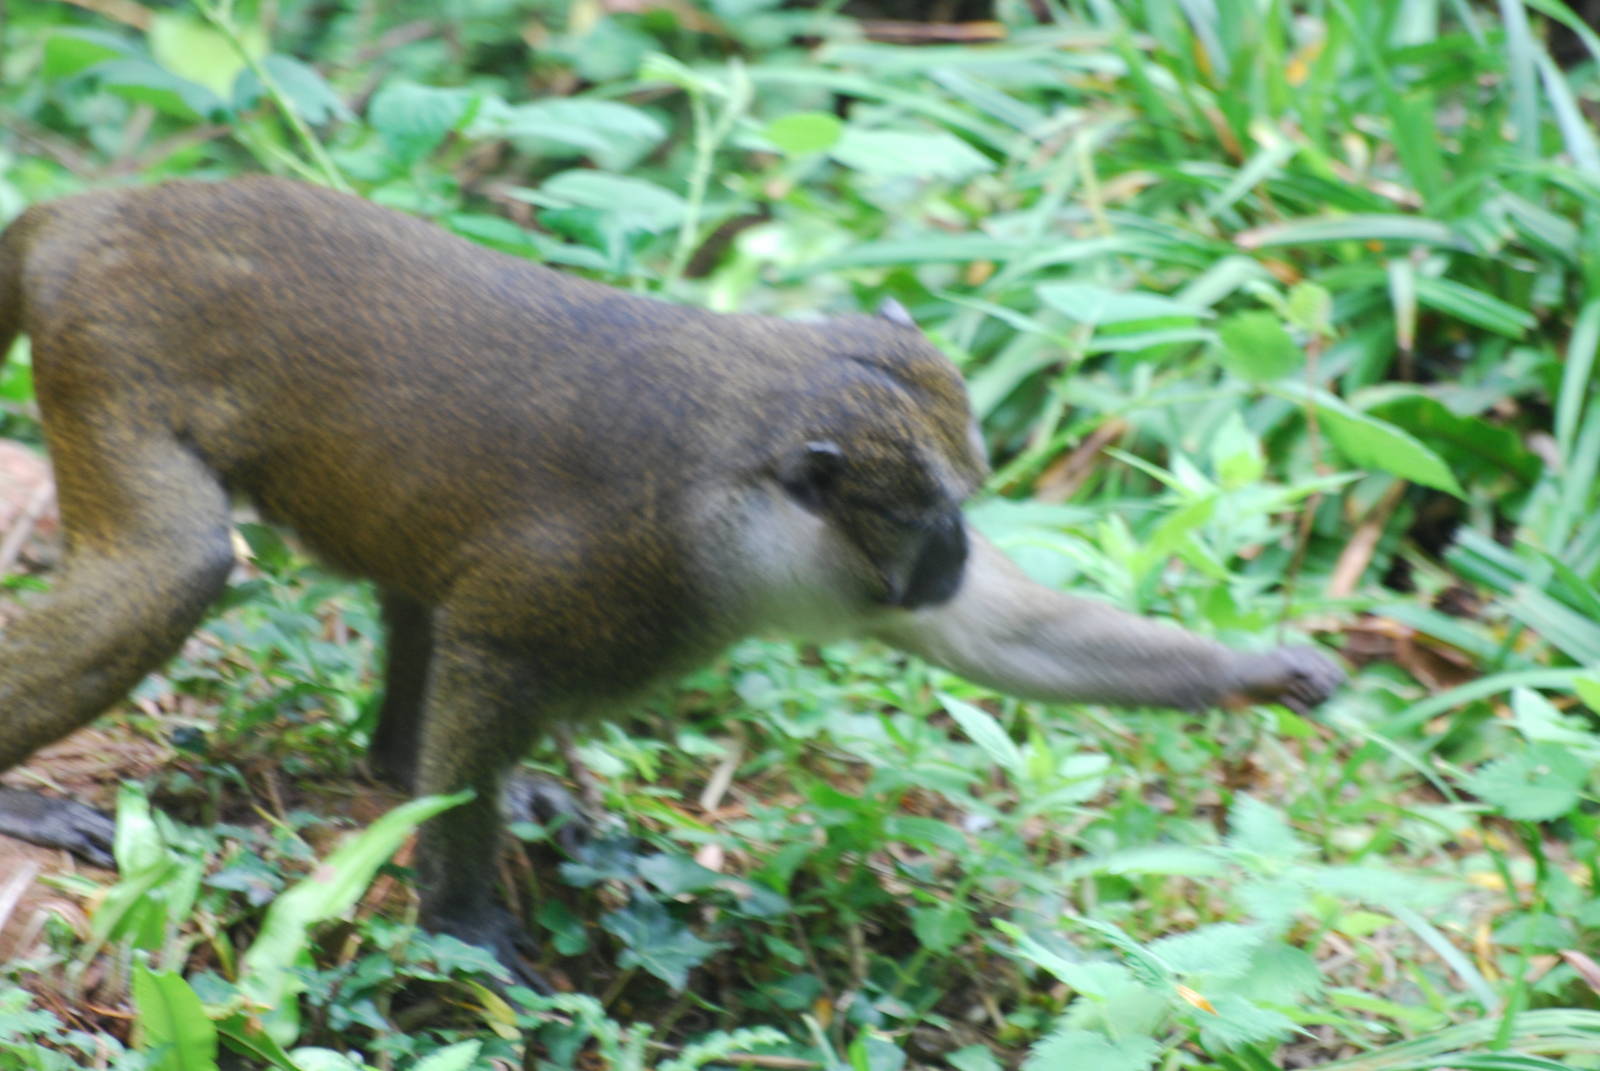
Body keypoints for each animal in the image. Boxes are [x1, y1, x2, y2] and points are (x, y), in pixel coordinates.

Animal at [0, 177, 1342, 983]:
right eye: (933, 516)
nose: (953, 554)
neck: (737, 496)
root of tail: (96, 211)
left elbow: (996, 636)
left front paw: (1259, 670)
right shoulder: (602, 570)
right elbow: (488, 648)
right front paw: (462, 920)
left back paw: (395, 764)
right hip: (104, 346)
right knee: (175, 572)